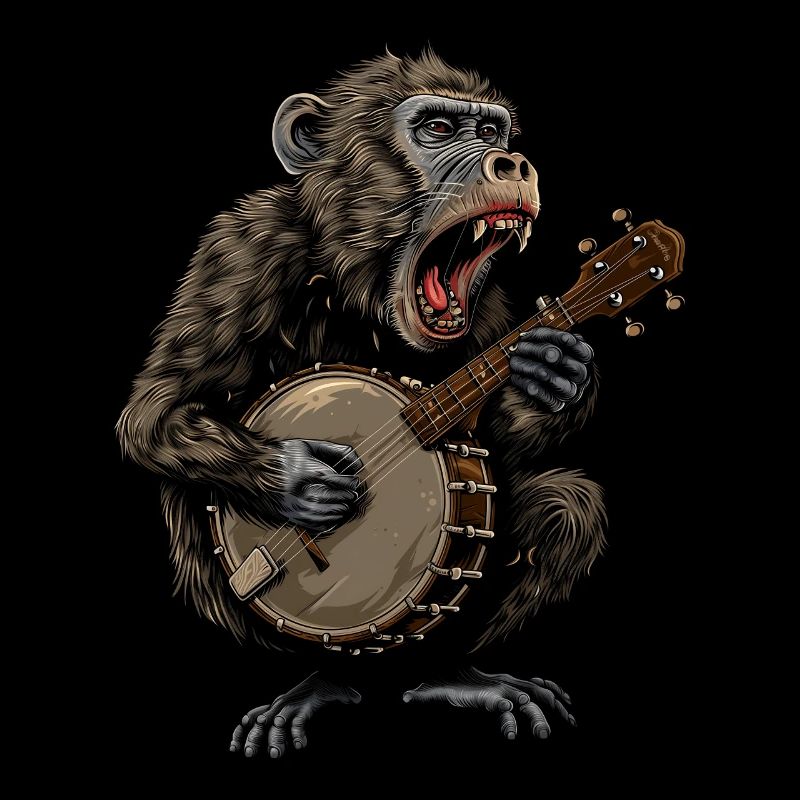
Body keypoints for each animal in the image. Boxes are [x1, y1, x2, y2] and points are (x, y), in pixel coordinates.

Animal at [118, 49, 606, 759]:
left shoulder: (488, 307)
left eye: (491, 132)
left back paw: (453, 676)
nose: (509, 161)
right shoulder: (239, 252)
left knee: (570, 511)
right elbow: (157, 411)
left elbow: (507, 447)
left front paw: (556, 373)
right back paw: (317, 682)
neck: (362, 284)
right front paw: (301, 483)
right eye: (437, 130)